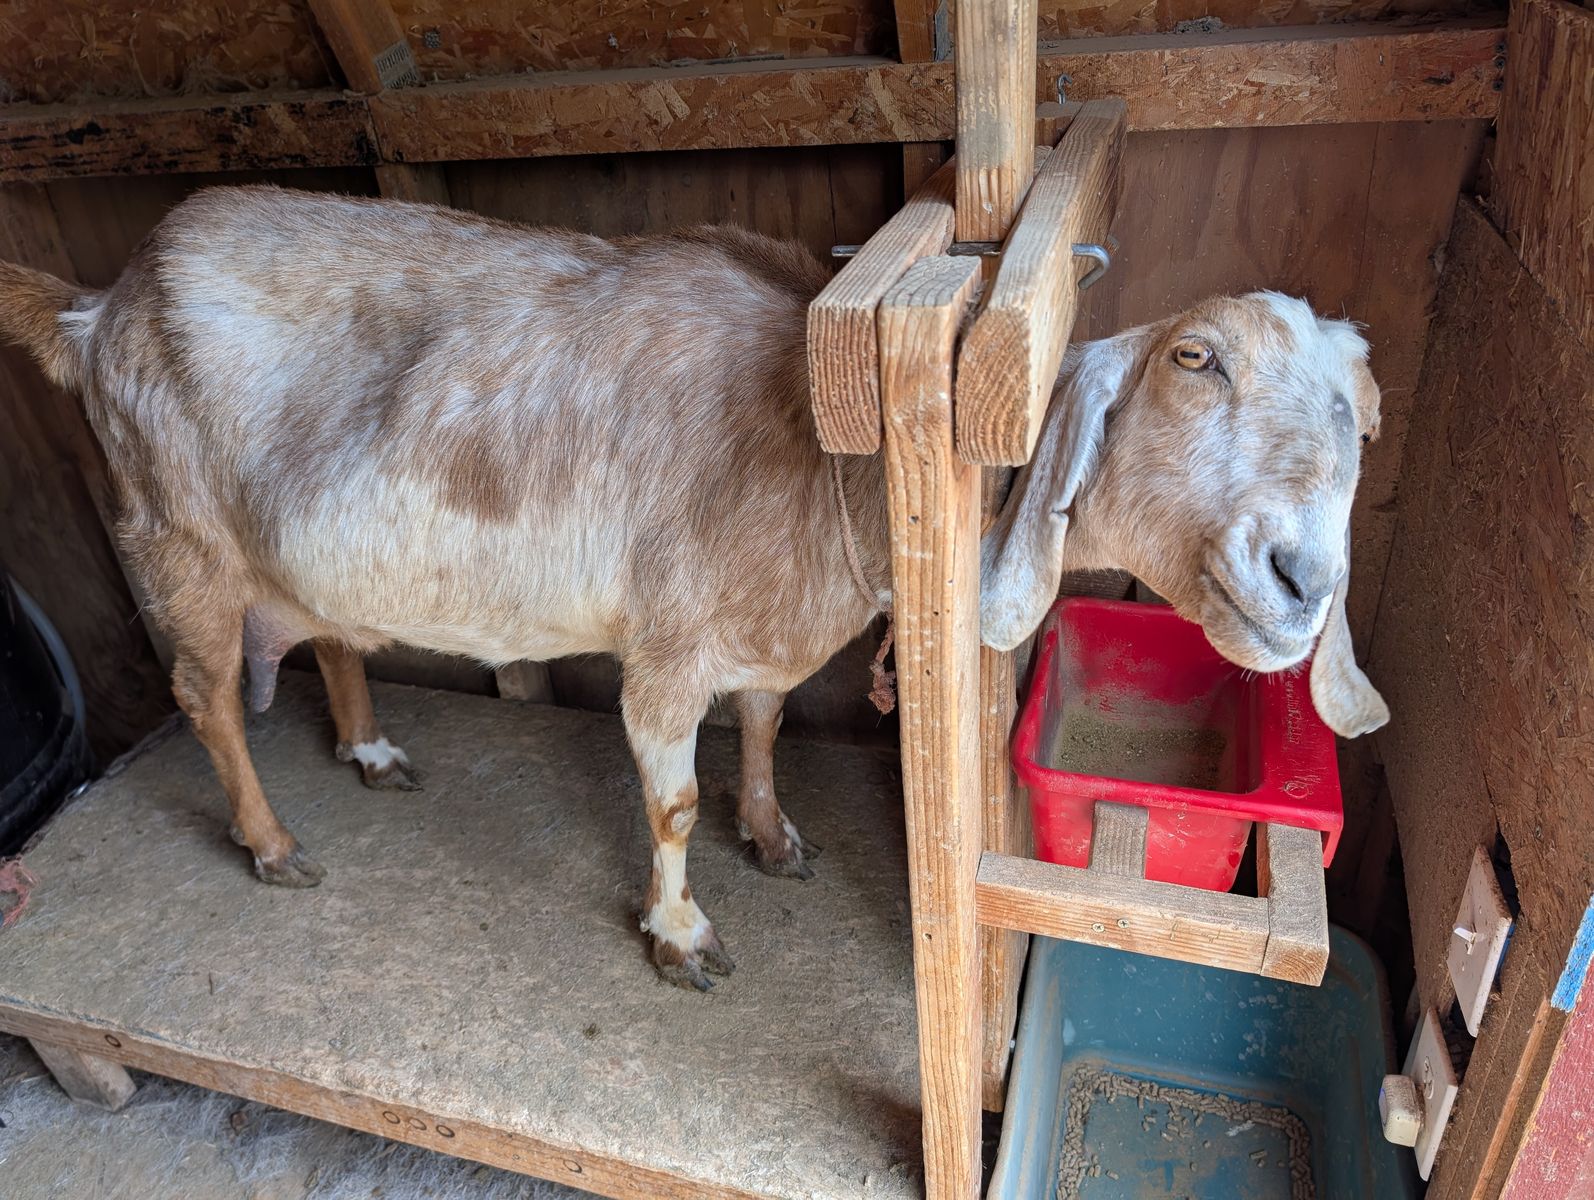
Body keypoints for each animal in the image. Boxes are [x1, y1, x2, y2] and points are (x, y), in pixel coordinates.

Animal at [0, 186, 1387, 990]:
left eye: (1357, 415)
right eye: (1193, 359)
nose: (1300, 578)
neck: (821, 449)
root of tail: (96, 306)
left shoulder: (760, 635)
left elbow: (764, 722)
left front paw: (769, 834)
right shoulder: (663, 652)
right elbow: (667, 802)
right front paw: (680, 934)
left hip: (287, 548)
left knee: (326, 635)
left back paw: (372, 748)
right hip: (174, 536)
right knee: (205, 697)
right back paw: (274, 843)